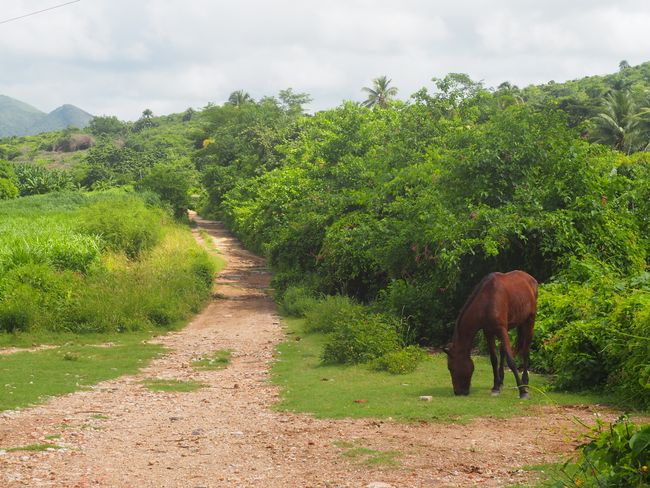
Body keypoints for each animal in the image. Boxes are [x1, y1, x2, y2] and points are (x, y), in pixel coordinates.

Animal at [442, 270, 536, 400]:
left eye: (451, 368)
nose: (458, 392)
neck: (487, 302)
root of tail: (529, 278)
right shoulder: (488, 332)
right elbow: (494, 359)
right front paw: (496, 387)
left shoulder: (501, 329)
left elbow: (511, 361)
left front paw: (522, 391)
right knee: (503, 351)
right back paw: (501, 382)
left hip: (529, 322)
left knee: (525, 351)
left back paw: (525, 383)